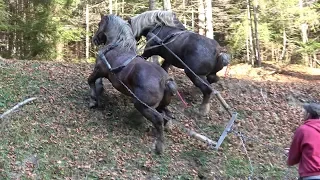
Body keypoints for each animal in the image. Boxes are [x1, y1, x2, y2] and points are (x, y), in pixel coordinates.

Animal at [88, 14, 178, 155]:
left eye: (99, 24)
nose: (95, 39)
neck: (117, 46)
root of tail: (165, 80)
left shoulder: (99, 70)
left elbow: (90, 80)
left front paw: (93, 101)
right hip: (161, 105)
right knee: (167, 116)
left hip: (143, 105)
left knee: (159, 120)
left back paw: (159, 147)